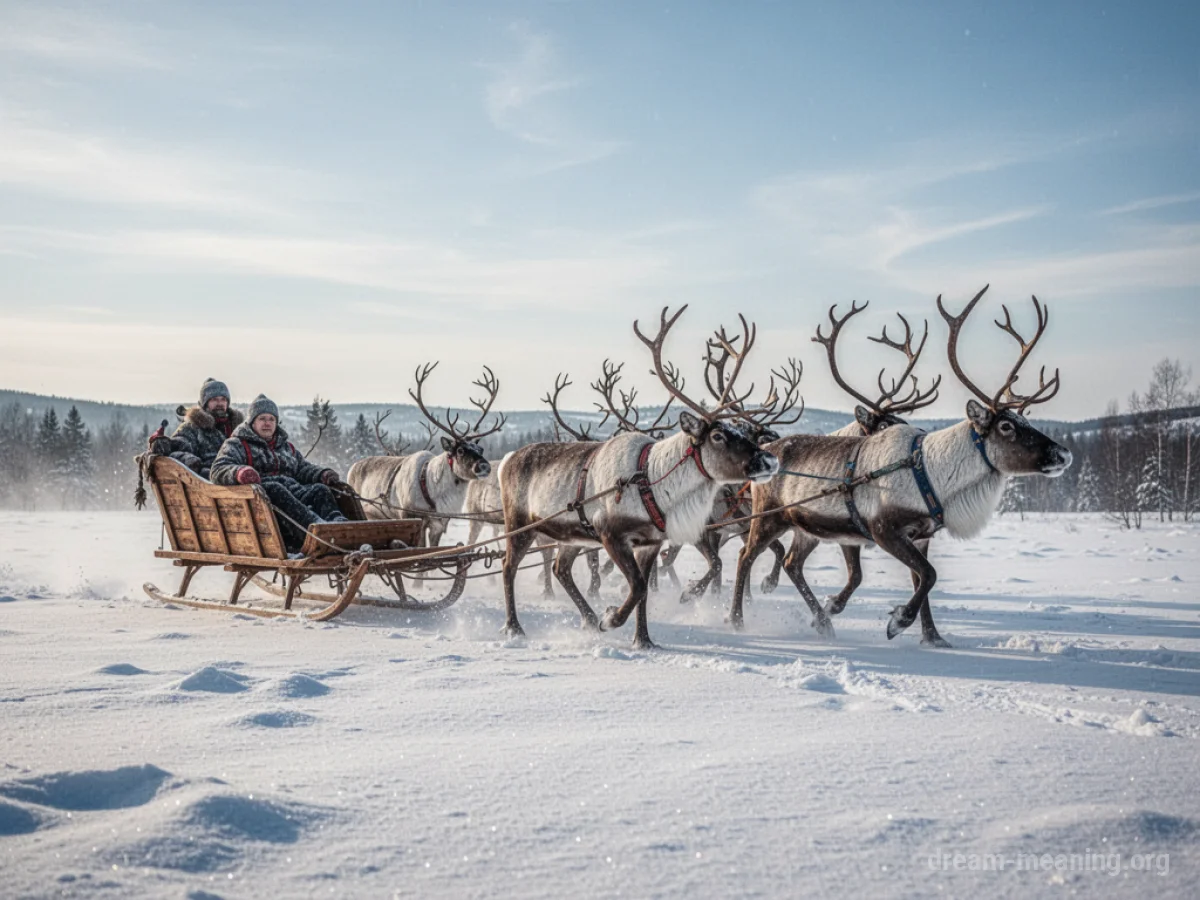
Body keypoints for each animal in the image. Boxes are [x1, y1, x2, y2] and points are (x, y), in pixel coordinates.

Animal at [348, 363, 505, 555]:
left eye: (480, 448)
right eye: (460, 450)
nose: (484, 466)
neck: (432, 491)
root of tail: (353, 467)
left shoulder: (439, 524)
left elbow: (433, 552)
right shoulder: (413, 518)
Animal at [497, 307, 787, 649]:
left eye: (743, 432)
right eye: (717, 436)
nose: (769, 459)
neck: (654, 482)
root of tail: (506, 460)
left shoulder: (649, 542)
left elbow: (645, 590)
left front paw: (643, 640)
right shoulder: (610, 533)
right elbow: (636, 585)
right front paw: (611, 619)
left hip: (571, 536)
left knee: (560, 568)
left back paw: (588, 618)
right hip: (519, 524)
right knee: (508, 566)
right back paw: (515, 627)